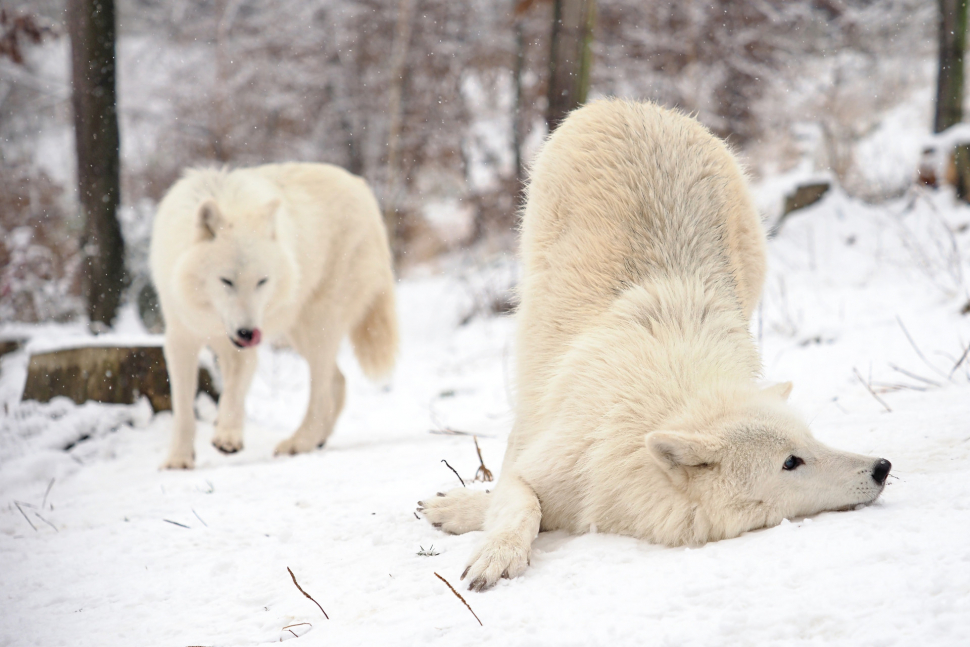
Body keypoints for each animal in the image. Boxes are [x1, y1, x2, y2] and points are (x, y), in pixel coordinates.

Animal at [150, 159, 398, 468]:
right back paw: (317, 439)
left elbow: (233, 393)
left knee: (321, 393)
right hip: (296, 333)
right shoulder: (181, 338)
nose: (248, 333)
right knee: (338, 381)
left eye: (262, 281)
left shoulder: (243, 347)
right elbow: (184, 409)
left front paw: (228, 437)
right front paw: (178, 460)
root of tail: (362, 188)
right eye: (226, 281)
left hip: (315, 326)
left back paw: (299, 442)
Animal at [420, 101, 888, 592]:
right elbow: (522, 502)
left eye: (812, 440)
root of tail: (632, 104)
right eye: (791, 462)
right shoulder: (547, 462)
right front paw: (493, 550)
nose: (882, 467)